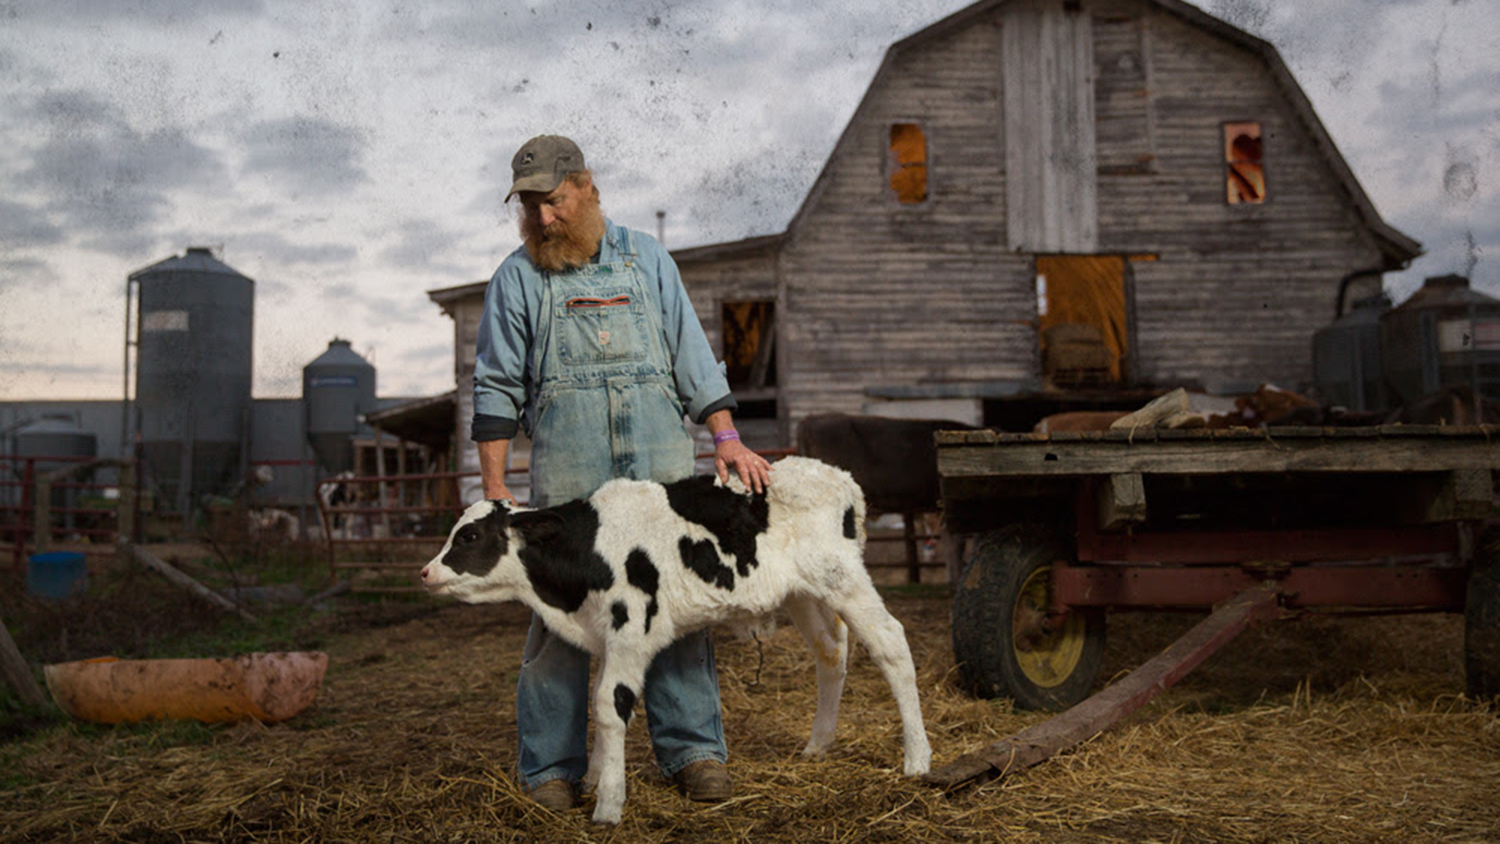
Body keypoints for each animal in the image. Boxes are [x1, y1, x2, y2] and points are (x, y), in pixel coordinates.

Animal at [423, 458, 930, 821]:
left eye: (469, 536)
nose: (426, 572)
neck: (589, 549)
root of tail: (838, 476)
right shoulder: (607, 636)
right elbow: (601, 702)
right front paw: (594, 779)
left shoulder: (631, 629)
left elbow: (610, 704)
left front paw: (609, 805)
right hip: (804, 592)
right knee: (831, 649)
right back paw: (818, 745)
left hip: (843, 579)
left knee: (891, 644)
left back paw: (918, 758)